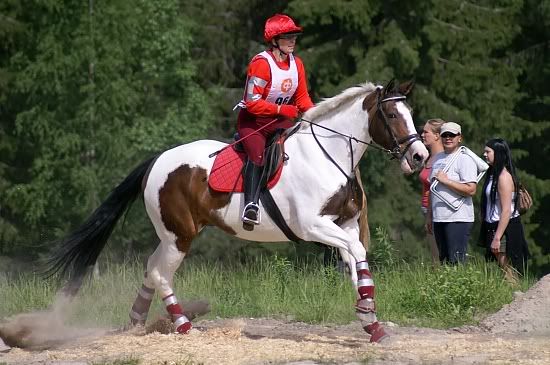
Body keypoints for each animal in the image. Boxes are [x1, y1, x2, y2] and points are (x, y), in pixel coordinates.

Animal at [45, 79, 430, 342]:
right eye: (392, 114)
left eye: (411, 115)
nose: (420, 156)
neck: (328, 155)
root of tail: (156, 161)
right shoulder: (312, 225)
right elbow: (356, 254)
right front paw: (367, 314)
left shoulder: (345, 225)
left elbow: (357, 261)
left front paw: (371, 320)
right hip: (180, 236)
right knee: (160, 274)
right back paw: (183, 325)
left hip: (173, 234)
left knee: (151, 268)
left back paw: (138, 321)